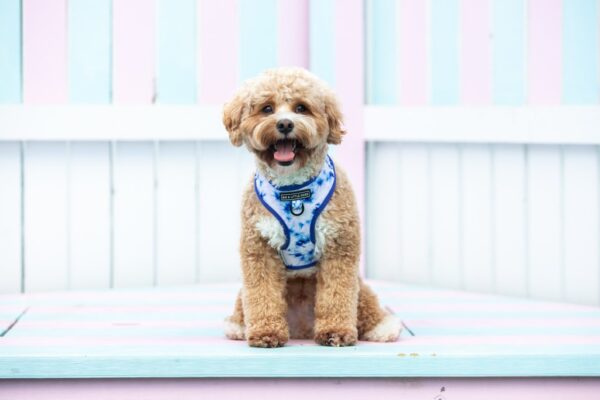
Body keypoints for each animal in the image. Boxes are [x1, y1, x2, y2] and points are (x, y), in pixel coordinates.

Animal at [223, 66, 400, 346]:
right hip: (245, 292)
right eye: (267, 108)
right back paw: (238, 326)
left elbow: (337, 294)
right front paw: (265, 332)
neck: (293, 192)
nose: (285, 124)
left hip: (361, 286)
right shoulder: (259, 248)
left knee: (365, 304)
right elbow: (262, 294)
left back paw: (382, 327)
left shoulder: (339, 245)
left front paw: (336, 331)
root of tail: (302, 327)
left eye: (301, 108)